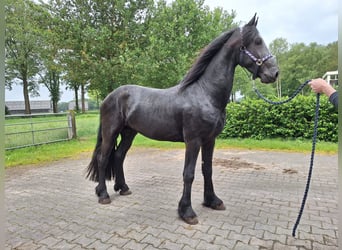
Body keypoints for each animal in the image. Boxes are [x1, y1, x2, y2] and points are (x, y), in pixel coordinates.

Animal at [87, 14, 280, 224]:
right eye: (257, 41)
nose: (274, 73)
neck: (205, 94)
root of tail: (109, 97)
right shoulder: (193, 141)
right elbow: (189, 174)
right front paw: (187, 211)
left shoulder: (210, 140)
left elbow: (207, 169)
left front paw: (213, 201)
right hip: (111, 132)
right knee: (103, 158)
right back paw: (103, 194)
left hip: (129, 133)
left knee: (119, 156)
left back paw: (123, 188)